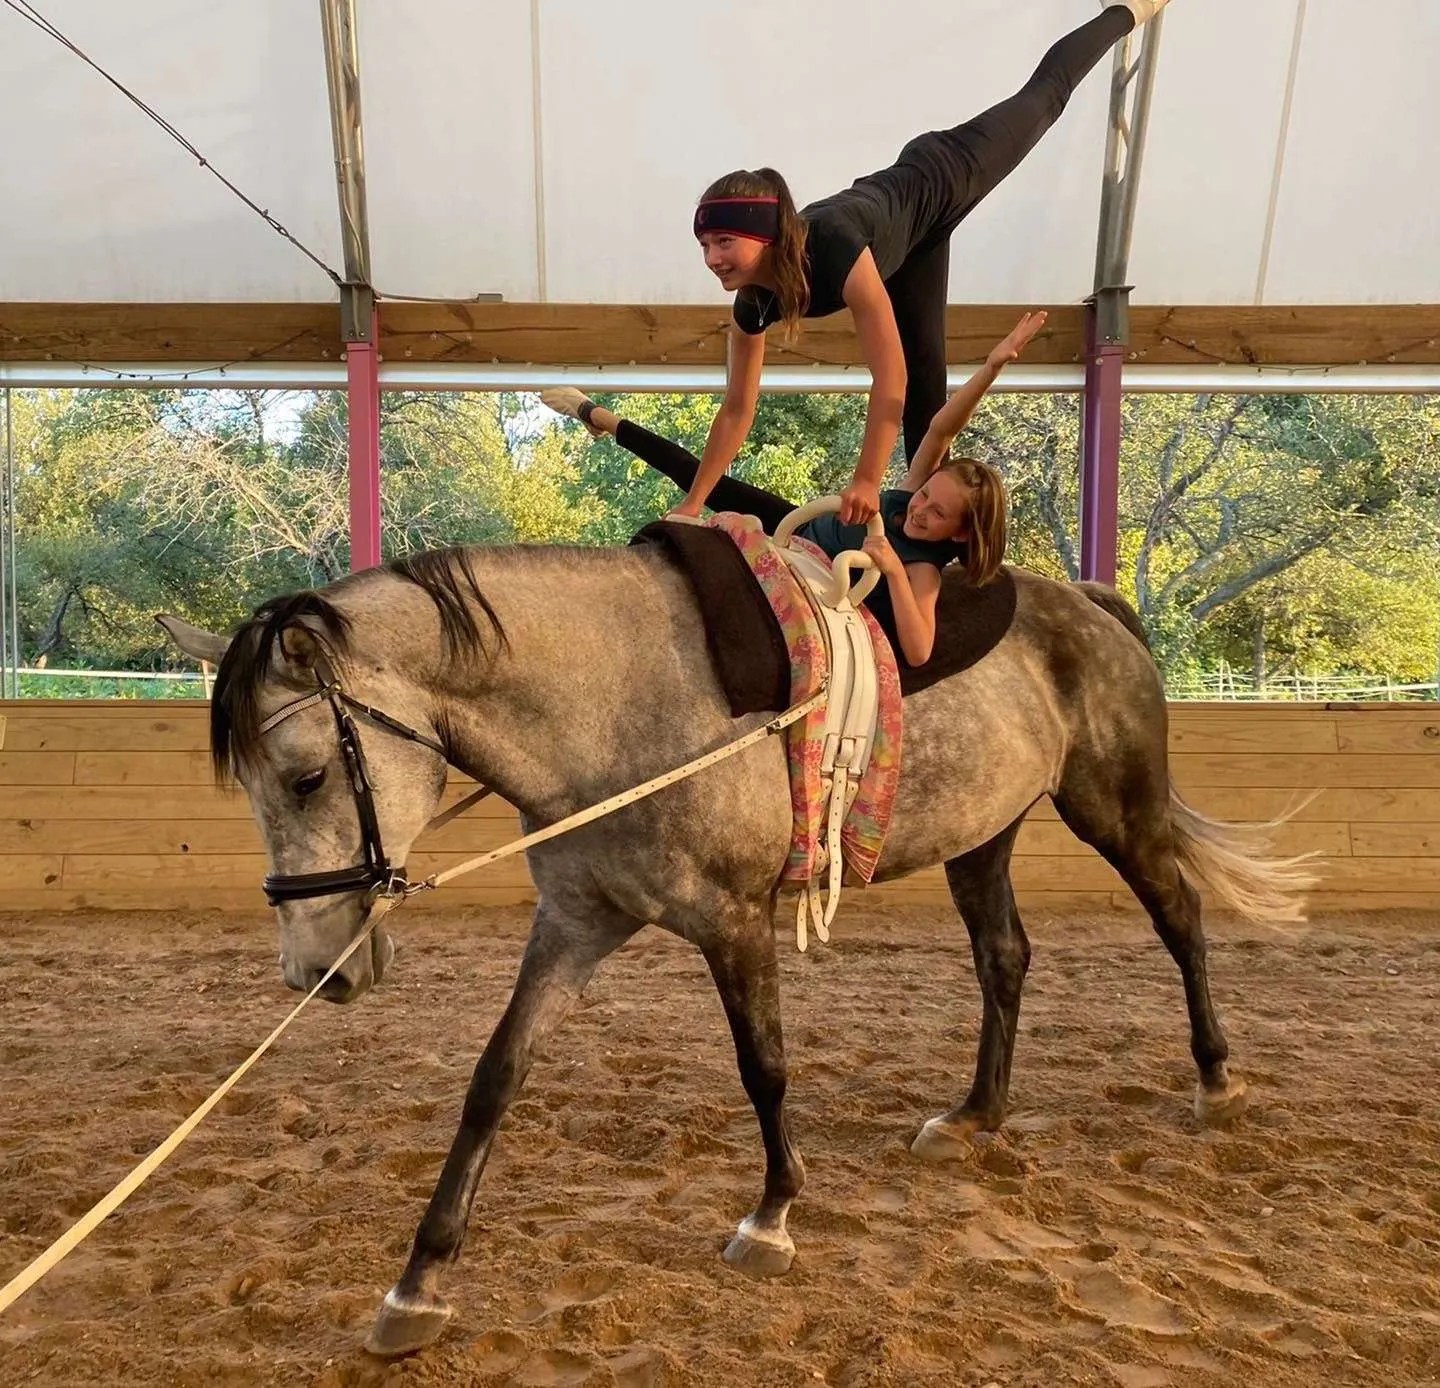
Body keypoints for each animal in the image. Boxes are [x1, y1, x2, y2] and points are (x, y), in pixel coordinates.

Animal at [159, 540, 1310, 1356]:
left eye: (308, 775)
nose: (316, 969)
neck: (617, 704)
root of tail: (1088, 601)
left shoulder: (736, 920)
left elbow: (765, 1066)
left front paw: (773, 1217)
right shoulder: (576, 923)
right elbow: (494, 1079)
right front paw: (419, 1282)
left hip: (1115, 805)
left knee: (1179, 917)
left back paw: (1216, 1080)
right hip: (984, 834)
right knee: (1005, 956)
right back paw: (975, 1113)